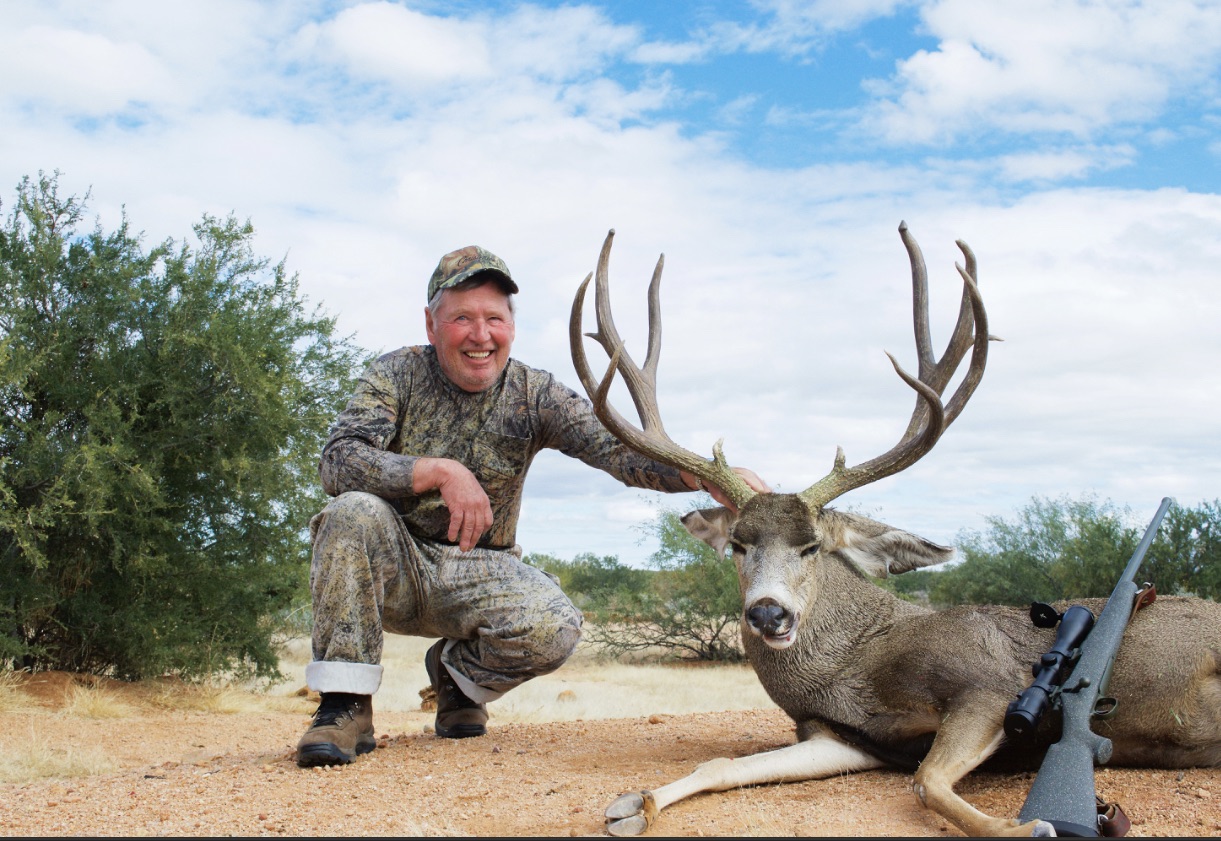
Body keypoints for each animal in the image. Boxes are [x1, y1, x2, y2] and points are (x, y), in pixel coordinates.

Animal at [569, 226, 1221, 838]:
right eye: (737, 544)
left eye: (812, 546)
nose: (768, 613)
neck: (852, 667)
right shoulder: (843, 737)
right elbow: (724, 764)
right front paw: (635, 804)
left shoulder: (989, 683)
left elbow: (928, 781)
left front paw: (1030, 825)